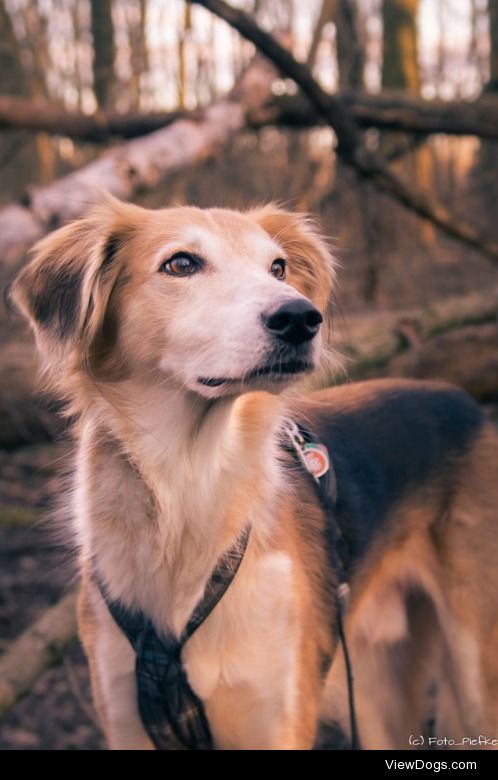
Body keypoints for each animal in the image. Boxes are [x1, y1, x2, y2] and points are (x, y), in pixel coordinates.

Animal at [9, 197, 498, 748]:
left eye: (278, 268)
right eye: (181, 263)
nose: (302, 318)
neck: (189, 483)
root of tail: (465, 401)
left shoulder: (276, 718)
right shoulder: (126, 722)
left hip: (475, 671)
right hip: (376, 692)